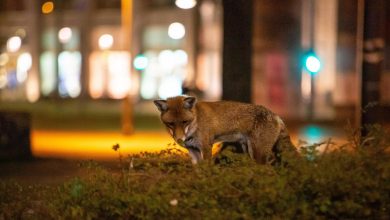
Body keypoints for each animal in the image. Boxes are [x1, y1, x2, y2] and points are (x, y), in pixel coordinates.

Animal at [154, 95, 294, 164]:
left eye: (184, 122)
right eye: (171, 124)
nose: (179, 139)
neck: (196, 120)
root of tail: (275, 115)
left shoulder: (206, 148)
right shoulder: (193, 151)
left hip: (258, 154)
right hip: (248, 150)